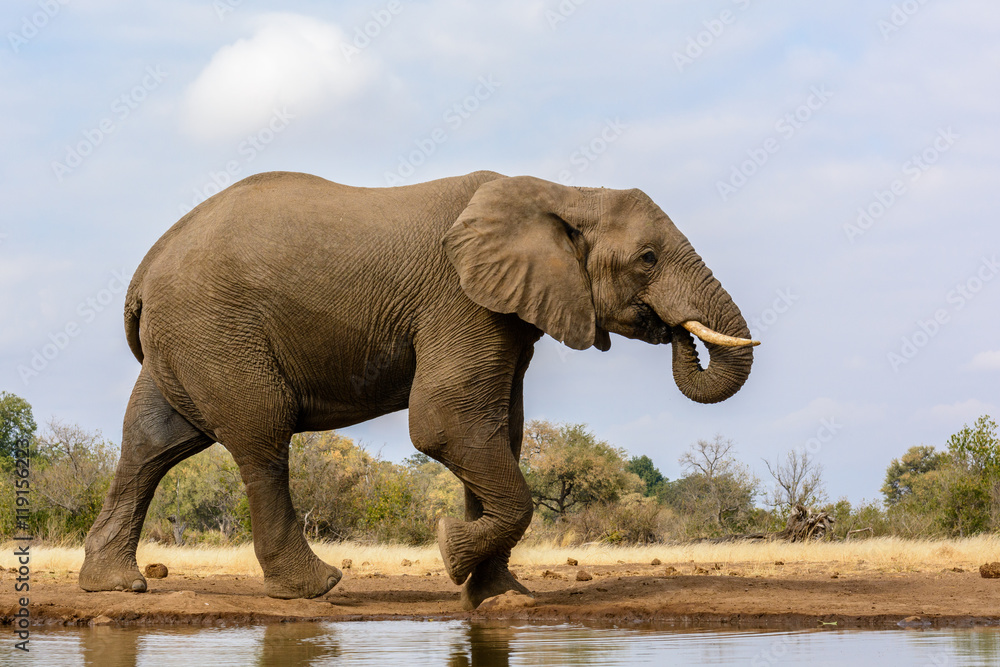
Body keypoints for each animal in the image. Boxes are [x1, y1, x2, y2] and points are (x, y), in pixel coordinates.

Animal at [80, 172, 756, 612]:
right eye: (647, 258)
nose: (676, 332)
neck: (564, 190)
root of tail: (144, 270)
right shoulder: (462, 301)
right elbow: (447, 423)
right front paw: (450, 554)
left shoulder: (503, 314)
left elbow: (497, 431)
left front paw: (501, 601)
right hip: (218, 330)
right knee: (261, 436)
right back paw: (315, 589)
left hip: (189, 336)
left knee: (152, 441)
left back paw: (113, 586)